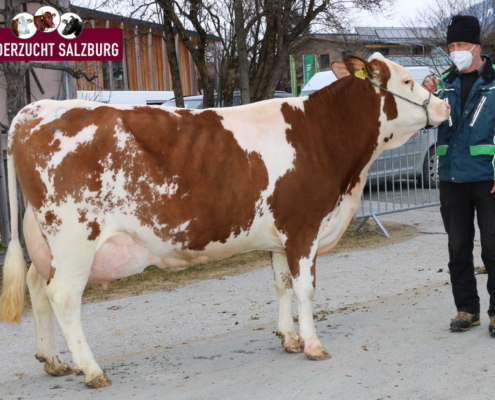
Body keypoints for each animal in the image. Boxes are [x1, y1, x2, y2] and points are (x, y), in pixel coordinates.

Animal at [0, 53, 450, 388]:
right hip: (74, 238)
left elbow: (281, 284)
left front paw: (288, 338)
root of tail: (37, 108)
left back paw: (54, 359)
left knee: (38, 287)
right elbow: (305, 289)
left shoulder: (280, 236)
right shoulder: (304, 227)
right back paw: (92, 370)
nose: (444, 104)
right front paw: (312, 344)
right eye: (408, 81)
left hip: (44, 238)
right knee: (63, 296)